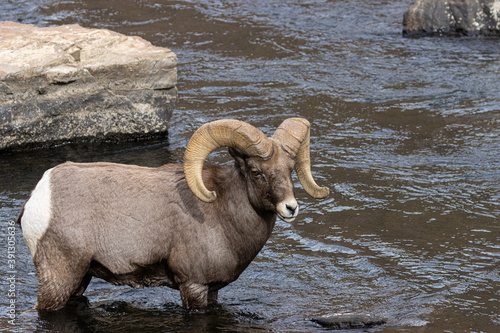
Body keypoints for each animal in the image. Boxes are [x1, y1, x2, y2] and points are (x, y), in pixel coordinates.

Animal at [18, 117, 328, 312]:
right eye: (256, 172)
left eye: (289, 170)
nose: (290, 207)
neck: (223, 216)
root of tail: (39, 196)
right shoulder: (193, 286)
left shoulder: (212, 290)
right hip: (59, 278)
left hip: (80, 279)